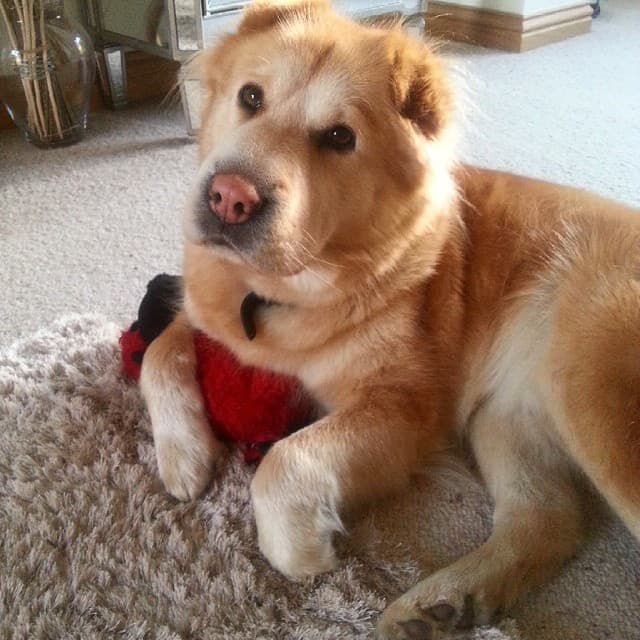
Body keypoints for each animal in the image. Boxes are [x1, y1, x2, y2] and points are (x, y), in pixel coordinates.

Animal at [141, 2, 640, 636]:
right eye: (251, 97)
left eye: (339, 137)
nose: (229, 198)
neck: (280, 292)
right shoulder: (209, 321)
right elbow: (157, 353)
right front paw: (184, 456)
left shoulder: (405, 410)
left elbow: (286, 459)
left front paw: (302, 552)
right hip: (506, 415)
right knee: (547, 519)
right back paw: (441, 605)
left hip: (592, 392)